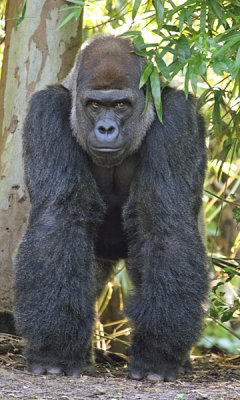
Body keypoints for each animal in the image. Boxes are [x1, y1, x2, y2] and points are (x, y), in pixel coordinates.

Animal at [14, 35, 208, 382]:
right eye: (95, 105)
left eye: (120, 105)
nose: (106, 129)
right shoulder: (45, 109)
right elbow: (60, 215)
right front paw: (55, 350)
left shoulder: (177, 114)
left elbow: (163, 219)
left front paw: (157, 355)